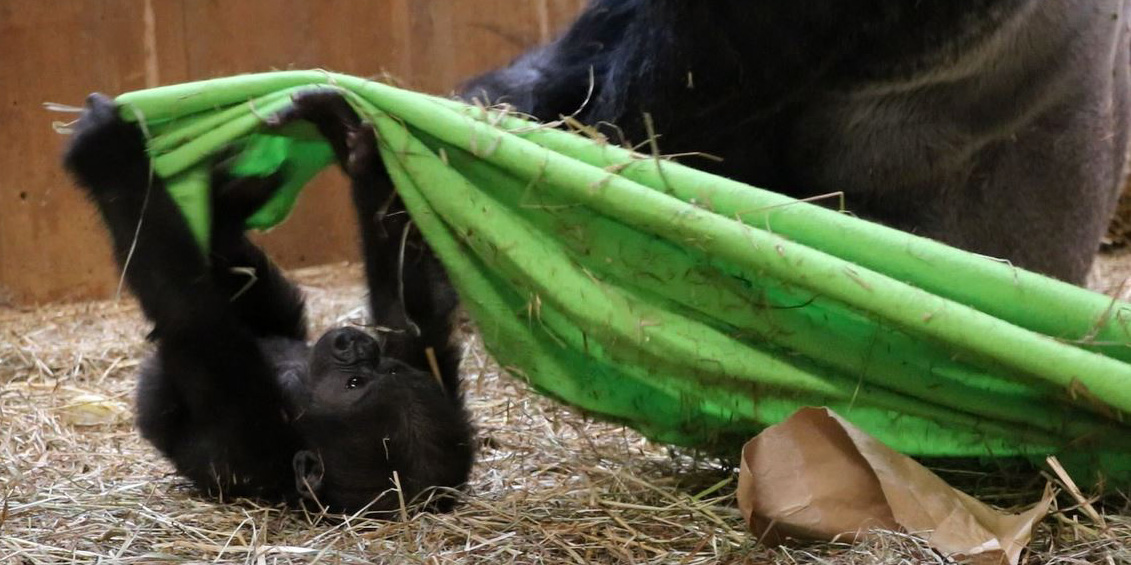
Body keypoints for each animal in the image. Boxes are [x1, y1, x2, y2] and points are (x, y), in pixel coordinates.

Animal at [64, 91, 470, 513]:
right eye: (379, 367)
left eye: (354, 384)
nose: (354, 343)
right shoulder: (425, 359)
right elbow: (404, 302)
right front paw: (353, 145)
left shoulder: (252, 429)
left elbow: (188, 311)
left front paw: (109, 150)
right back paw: (232, 199)